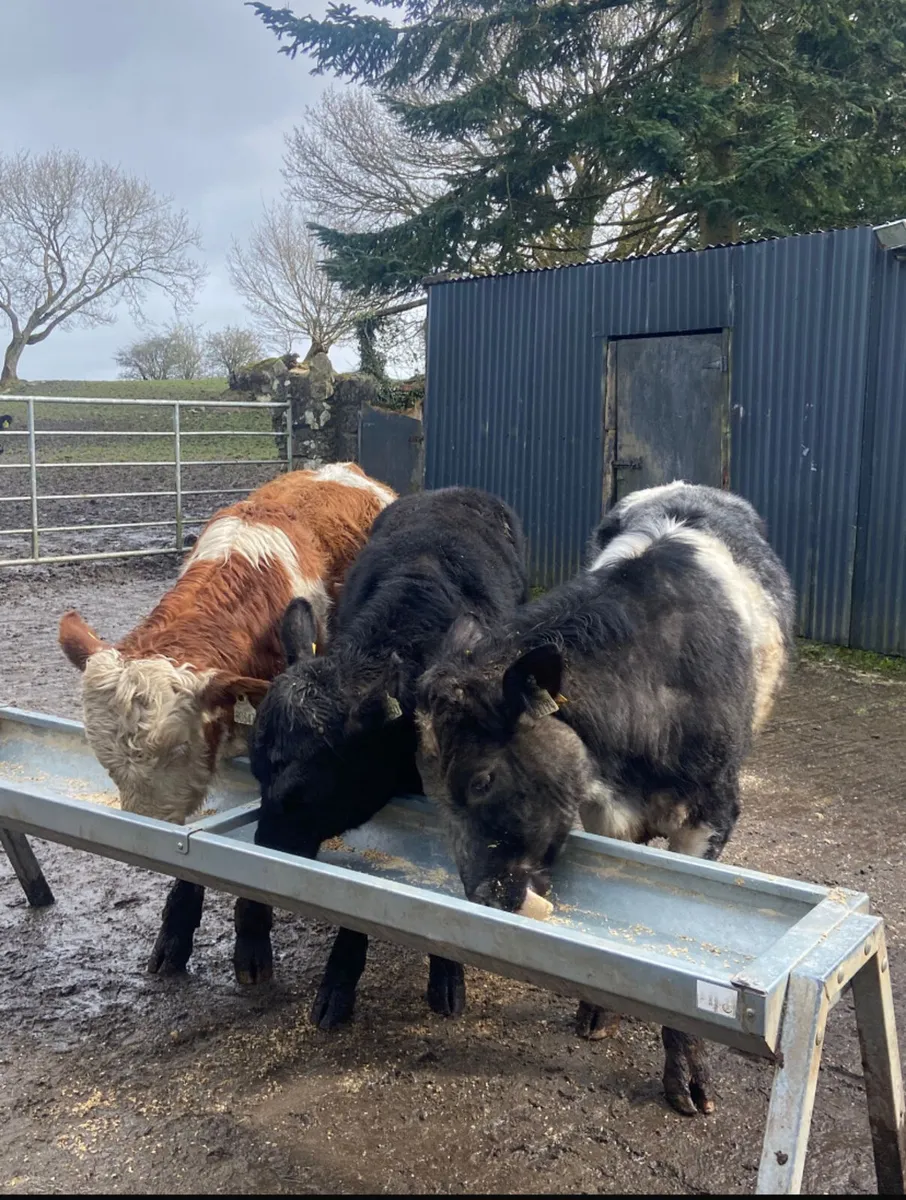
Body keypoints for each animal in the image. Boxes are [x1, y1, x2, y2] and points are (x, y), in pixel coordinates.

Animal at [415, 482, 795, 1117]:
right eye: (431, 791)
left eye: (482, 780)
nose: (483, 897)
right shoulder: (606, 816)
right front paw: (597, 1008)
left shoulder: (711, 818)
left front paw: (687, 1075)